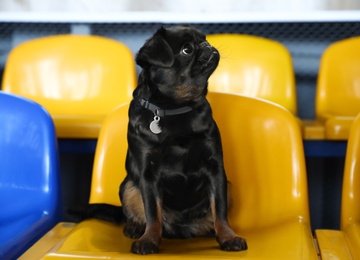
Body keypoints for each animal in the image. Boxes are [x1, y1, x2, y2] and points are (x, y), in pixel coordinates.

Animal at [120, 26, 248, 254]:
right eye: (187, 50)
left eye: (204, 39)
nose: (206, 45)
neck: (175, 107)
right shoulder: (148, 175)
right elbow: (152, 213)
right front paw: (149, 240)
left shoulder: (216, 169)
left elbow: (220, 210)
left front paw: (228, 236)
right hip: (127, 186)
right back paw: (135, 227)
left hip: (229, 186)